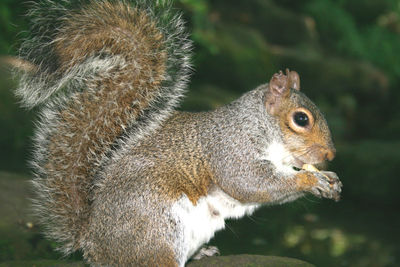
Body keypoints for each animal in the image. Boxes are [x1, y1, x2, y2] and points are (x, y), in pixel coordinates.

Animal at [14, 0, 340, 267]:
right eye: (301, 119)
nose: (331, 154)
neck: (258, 125)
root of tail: (92, 243)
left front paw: (329, 180)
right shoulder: (230, 148)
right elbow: (250, 181)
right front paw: (310, 180)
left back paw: (203, 252)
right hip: (156, 227)